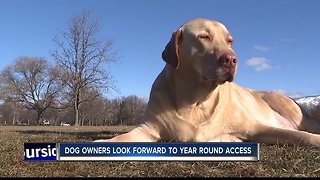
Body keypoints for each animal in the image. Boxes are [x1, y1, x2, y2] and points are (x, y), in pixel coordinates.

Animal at [95, 18, 320, 147]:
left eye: (229, 41)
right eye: (204, 37)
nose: (231, 59)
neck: (195, 101)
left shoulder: (256, 127)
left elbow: (299, 136)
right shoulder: (148, 129)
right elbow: (122, 138)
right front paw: (103, 142)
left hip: (283, 103)